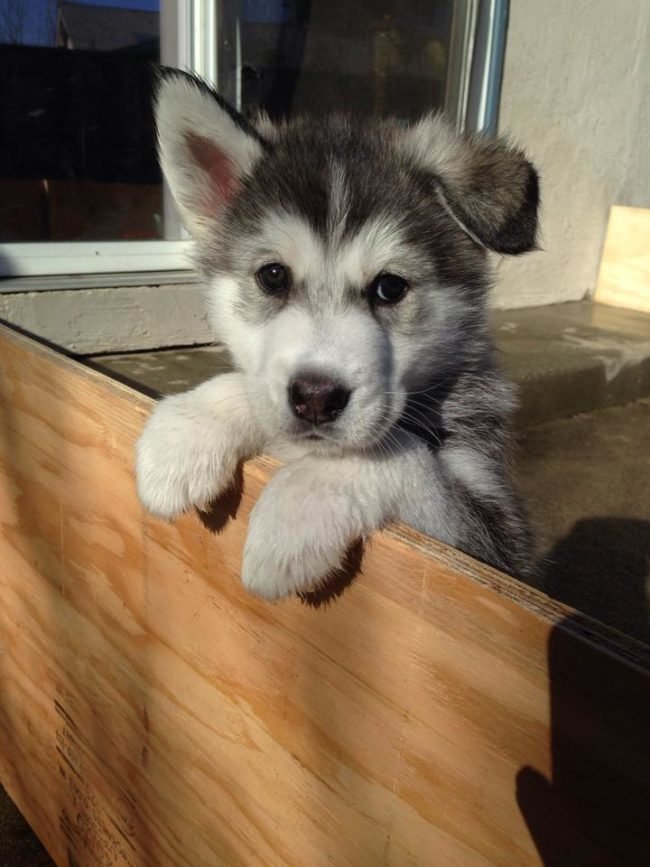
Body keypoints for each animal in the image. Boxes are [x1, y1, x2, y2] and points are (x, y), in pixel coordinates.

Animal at [134, 68, 536, 600]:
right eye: (273, 277)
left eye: (390, 287)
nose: (316, 397)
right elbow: (250, 386)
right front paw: (191, 428)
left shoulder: (500, 538)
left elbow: (399, 453)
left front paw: (297, 510)